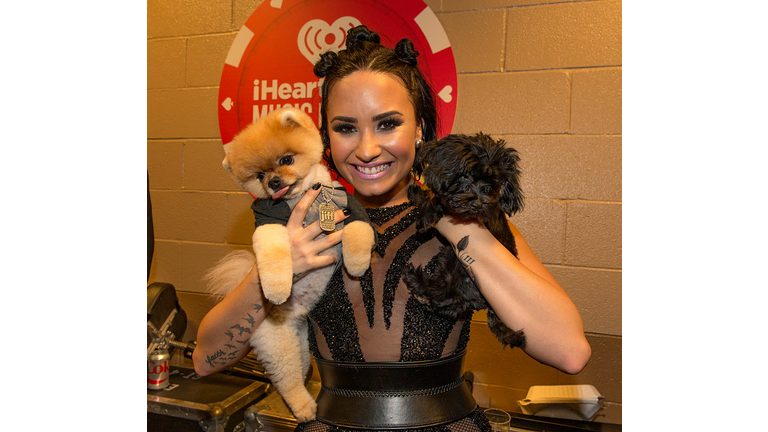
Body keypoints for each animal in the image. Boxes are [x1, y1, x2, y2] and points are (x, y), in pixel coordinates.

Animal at [202, 108, 374, 422]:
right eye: (259, 176)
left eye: (286, 160)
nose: (273, 182)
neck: (306, 197)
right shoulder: (267, 221)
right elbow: (272, 252)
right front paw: (277, 289)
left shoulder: (349, 207)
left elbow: (359, 230)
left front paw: (356, 264)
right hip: (278, 346)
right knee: (287, 380)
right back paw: (304, 407)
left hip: (301, 343)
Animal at [402, 133, 528, 350]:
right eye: (465, 175)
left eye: (492, 184)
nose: (478, 203)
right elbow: (437, 196)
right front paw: (419, 193)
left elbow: (437, 202)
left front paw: (426, 213)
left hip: (457, 264)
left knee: (445, 292)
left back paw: (415, 279)